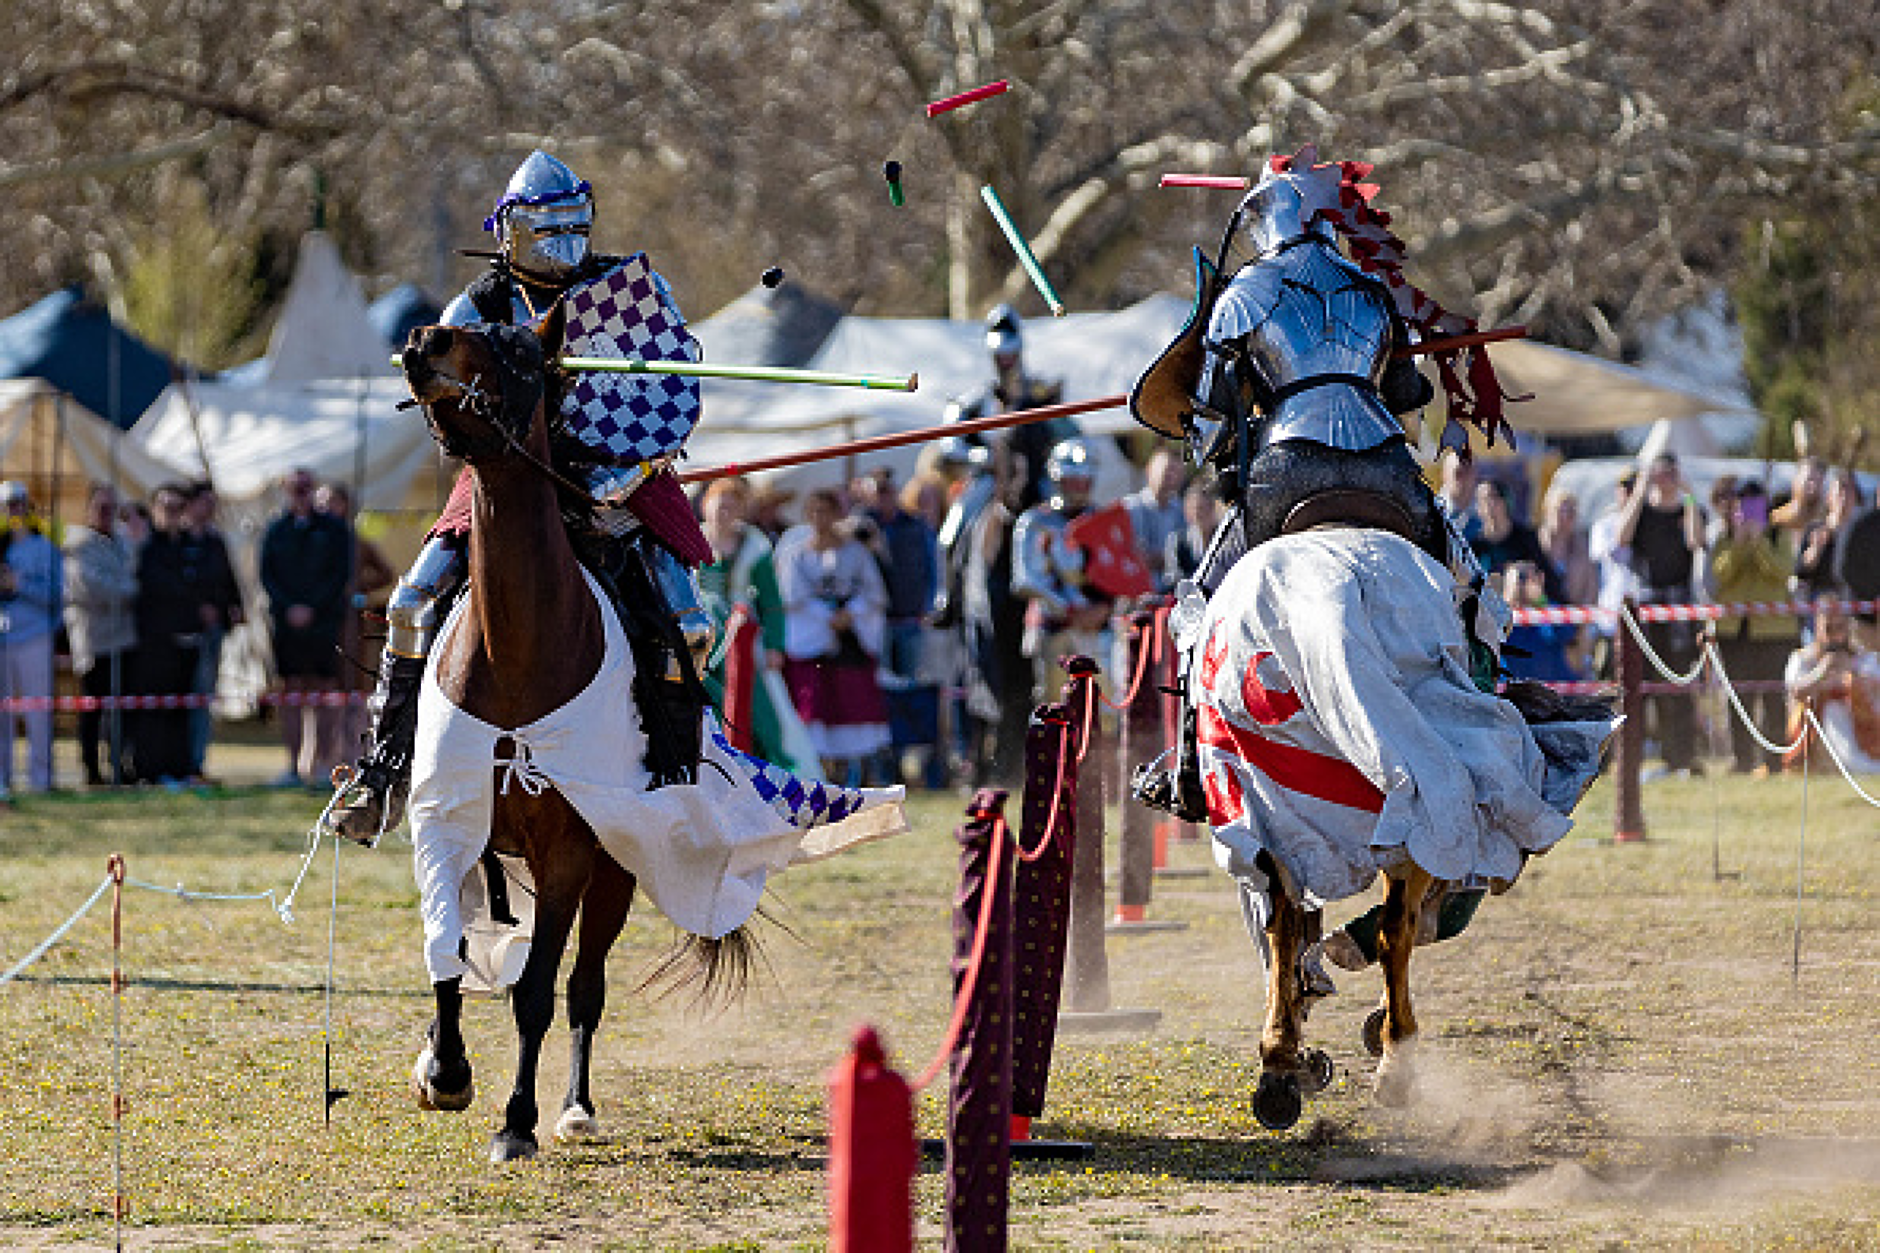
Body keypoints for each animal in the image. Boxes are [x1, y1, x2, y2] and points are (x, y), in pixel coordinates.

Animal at [396, 312, 733, 1158]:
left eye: (521, 353)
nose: (425, 341)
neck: (519, 650)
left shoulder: (572, 854)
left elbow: (539, 992)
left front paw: (515, 1119)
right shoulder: (443, 823)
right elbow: (446, 952)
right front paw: (444, 1068)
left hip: (614, 869)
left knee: (584, 985)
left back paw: (575, 1104)